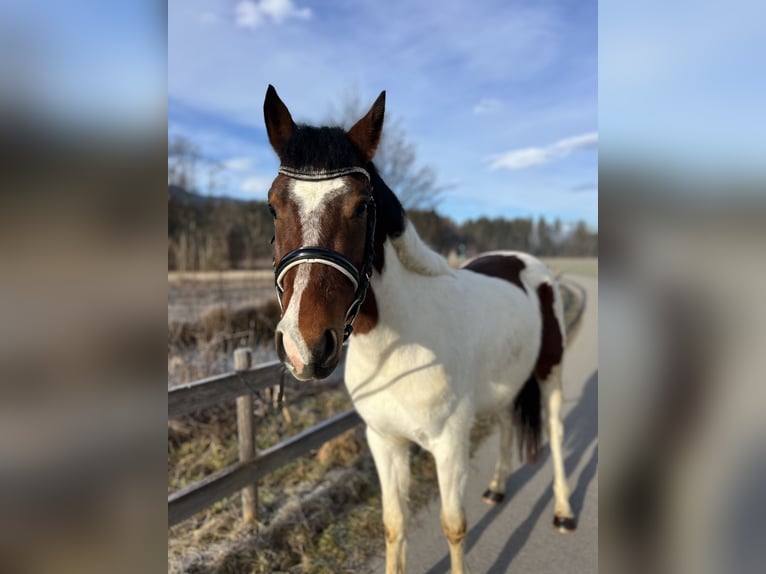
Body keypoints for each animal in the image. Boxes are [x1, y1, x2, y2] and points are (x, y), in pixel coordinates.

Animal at [264, 85, 576, 574]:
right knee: (508, 421)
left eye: (361, 206)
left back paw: (563, 511)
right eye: (273, 207)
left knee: (558, 433)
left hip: (551, 374)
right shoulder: (385, 442)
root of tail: (525, 263)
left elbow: (454, 526)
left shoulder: (449, 446)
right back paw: (497, 488)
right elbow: (395, 526)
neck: (399, 347)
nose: (303, 345)